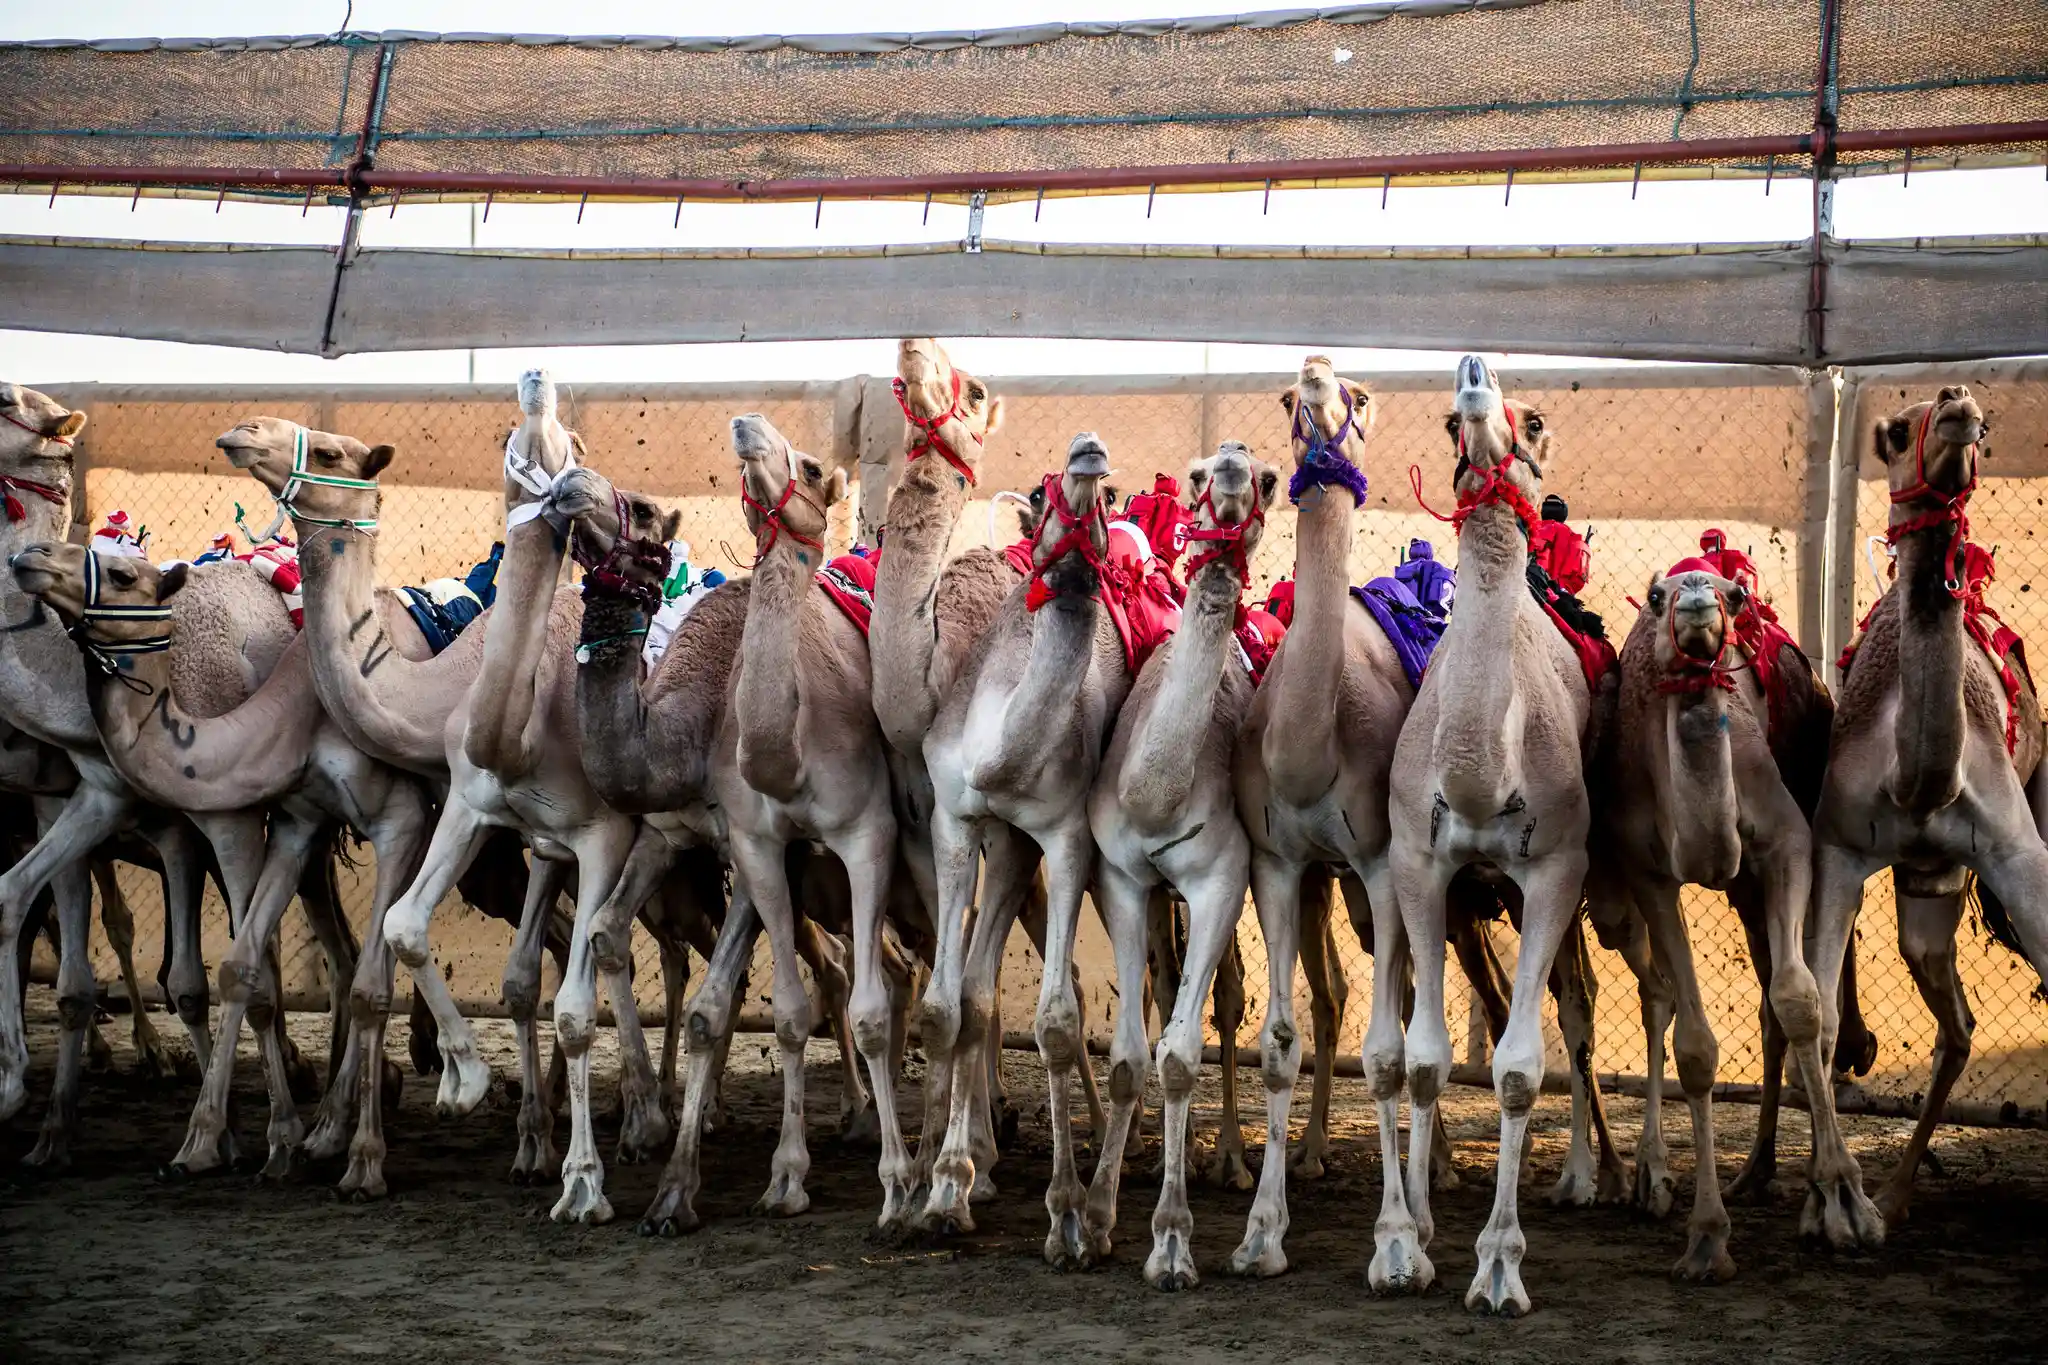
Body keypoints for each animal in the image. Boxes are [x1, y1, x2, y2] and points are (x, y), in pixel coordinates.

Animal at [0, 382, 305, 1167]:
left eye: (8, 399)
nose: (30, 562)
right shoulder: (71, 802)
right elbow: (61, 959)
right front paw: (46, 1125)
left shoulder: (193, 825)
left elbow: (217, 976)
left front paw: (254, 1133)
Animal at [918, 430, 1131, 1265]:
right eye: (1040, 495)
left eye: (1111, 494)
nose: (1090, 452)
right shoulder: (955, 817)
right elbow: (947, 1004)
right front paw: (942, 1193)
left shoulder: (1067, 837)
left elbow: (1059, 1022)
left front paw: (1067, 1216)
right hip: (1007, 849)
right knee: (981, 983)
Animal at [1597, 564, 1855, 1280]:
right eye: (1656, 596)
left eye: (1734, 596)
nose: (1696, 602)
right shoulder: (1649, 873)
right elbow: (1695, 1046)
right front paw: (1708, 1237)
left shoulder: (1788, 843)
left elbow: (1800, 1001)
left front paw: (1843, 1200)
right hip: (1731, 891)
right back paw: (1746, 1175)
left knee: (1789, 1001)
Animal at [1809, 385, 2048, 1234]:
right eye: (1898, 428)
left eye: (1981, 426)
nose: (1957, 400)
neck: (1922, 777)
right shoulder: (1839, 847)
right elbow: (1818, 1015)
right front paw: (1835, 1205)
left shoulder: (2018, 853)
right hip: (1927, 885)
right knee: (1955, 1022)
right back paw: (1896, 1192)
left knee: (1959, 1025)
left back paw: (1901, 1189)